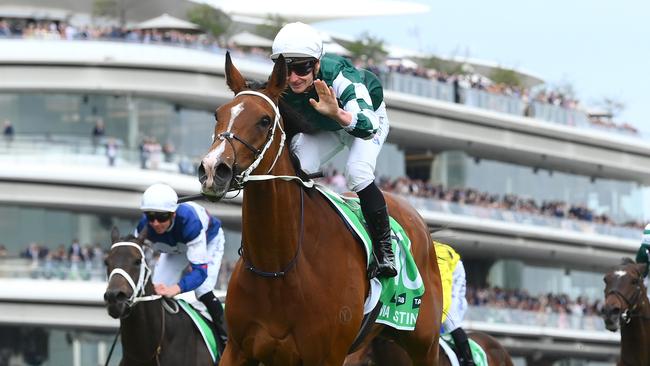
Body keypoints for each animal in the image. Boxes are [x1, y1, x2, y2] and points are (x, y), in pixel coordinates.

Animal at [196, 52, 440, 366]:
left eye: (264, 120)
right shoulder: (238, 349)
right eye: (218, 114)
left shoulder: (326, 355)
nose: (213, 169)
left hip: (424, 344)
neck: (278, 267)